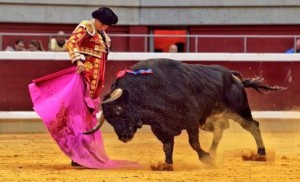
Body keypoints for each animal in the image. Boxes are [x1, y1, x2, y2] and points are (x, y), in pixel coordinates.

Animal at [84, 58, 284, 171]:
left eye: (119, 110)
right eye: (109, 120)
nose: (124, 137)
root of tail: (234, 77)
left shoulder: (190, 120)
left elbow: (193, 143)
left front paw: (205, 158)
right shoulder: (160, 126)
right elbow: (167, 145)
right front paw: (166, 165)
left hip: (239, 111)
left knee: (253, 126)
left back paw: (260, 154)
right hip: (211, 119)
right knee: (220, 131)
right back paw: (214, 152)